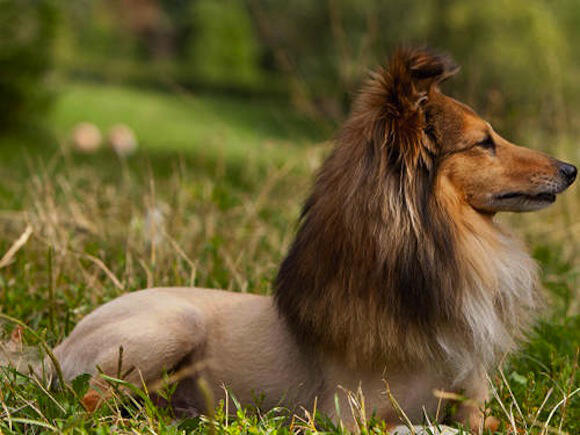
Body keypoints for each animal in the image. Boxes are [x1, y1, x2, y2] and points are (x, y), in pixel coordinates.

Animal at [48, 48, 576, 432]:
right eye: (484, 142)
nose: (570, 169)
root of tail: (59, 348)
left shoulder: (476, 406)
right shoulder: (347, 418)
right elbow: (420, 428)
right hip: (172, 325)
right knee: (94, 398)